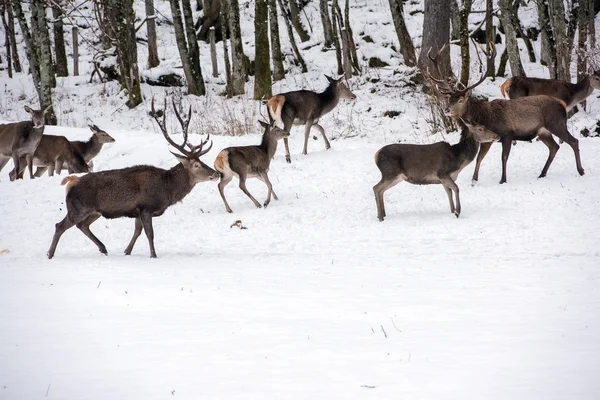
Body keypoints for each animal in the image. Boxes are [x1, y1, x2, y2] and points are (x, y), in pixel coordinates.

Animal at [46, 98, 220, 258]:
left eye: (202, 161)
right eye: (196, 165)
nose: (216, 173)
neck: (167, 189)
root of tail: (70, 183)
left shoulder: (138, 211)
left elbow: (137, 231)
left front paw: (127, 251)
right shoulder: (146, 207)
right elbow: (150, 233)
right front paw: (153, 255)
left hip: (94, 211)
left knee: (82, 225)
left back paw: (103, 248)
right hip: (78, 208)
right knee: (59, 225)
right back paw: (50, 254)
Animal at [372, 120, 500, 223]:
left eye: (485, 126)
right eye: (480, 129)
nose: (497, 136)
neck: (458, 160)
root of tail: (376, 155)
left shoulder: (443, 180)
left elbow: (449, 193)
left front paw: (452, 211)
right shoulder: (442, 173)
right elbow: (456, 188)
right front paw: (458, 212)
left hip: (395, 177)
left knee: (381, 190)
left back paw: (382, 214)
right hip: (390, 173)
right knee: (376, 188)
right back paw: (380, 217)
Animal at [426, 45, 584, 184]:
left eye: (460, 100)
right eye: (449, 99)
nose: (446, 110)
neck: (485, 117)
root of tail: (562, 104)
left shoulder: (507, 134)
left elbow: (504, 157)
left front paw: (502, 180)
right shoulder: (488, 139)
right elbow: (479, 158)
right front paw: (474, 179)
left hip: (556, 123)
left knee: (573, 141)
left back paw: (580, 170)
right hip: (543, 131)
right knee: (554, 147)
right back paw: (542, 174)